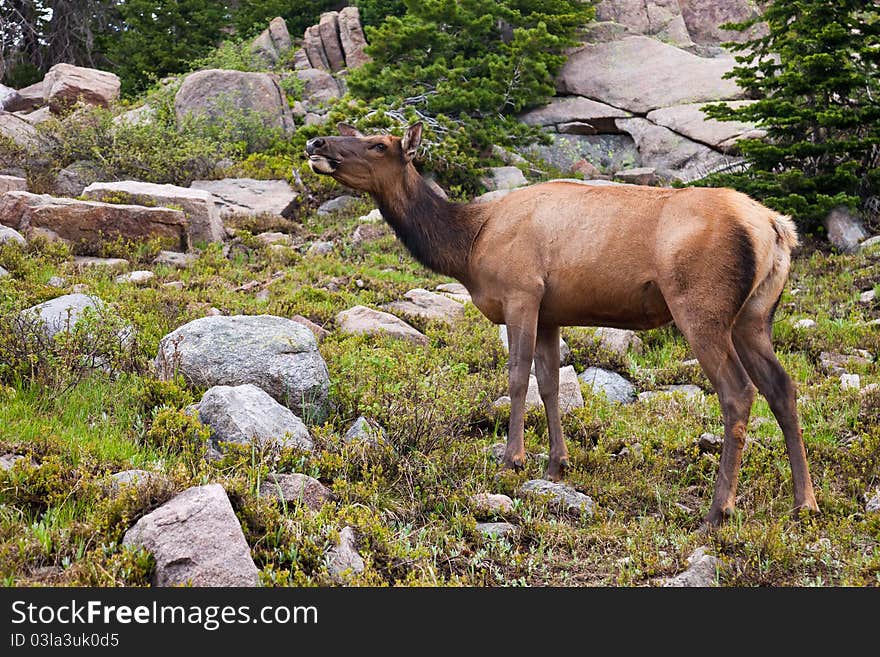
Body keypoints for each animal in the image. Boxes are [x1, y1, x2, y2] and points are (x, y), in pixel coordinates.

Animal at [306, 121, 820, 524]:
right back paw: (805, 503)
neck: (468, 245)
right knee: (783, 386)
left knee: (738, 391)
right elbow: (550, 382)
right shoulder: (551, 312)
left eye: (378, 144)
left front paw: (512, 460)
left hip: (701, 305)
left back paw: (718, 509)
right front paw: (556, 465)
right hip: (753, 316)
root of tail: (777, 228)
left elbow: (517, 378)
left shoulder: (522, 291)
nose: (316, 142)